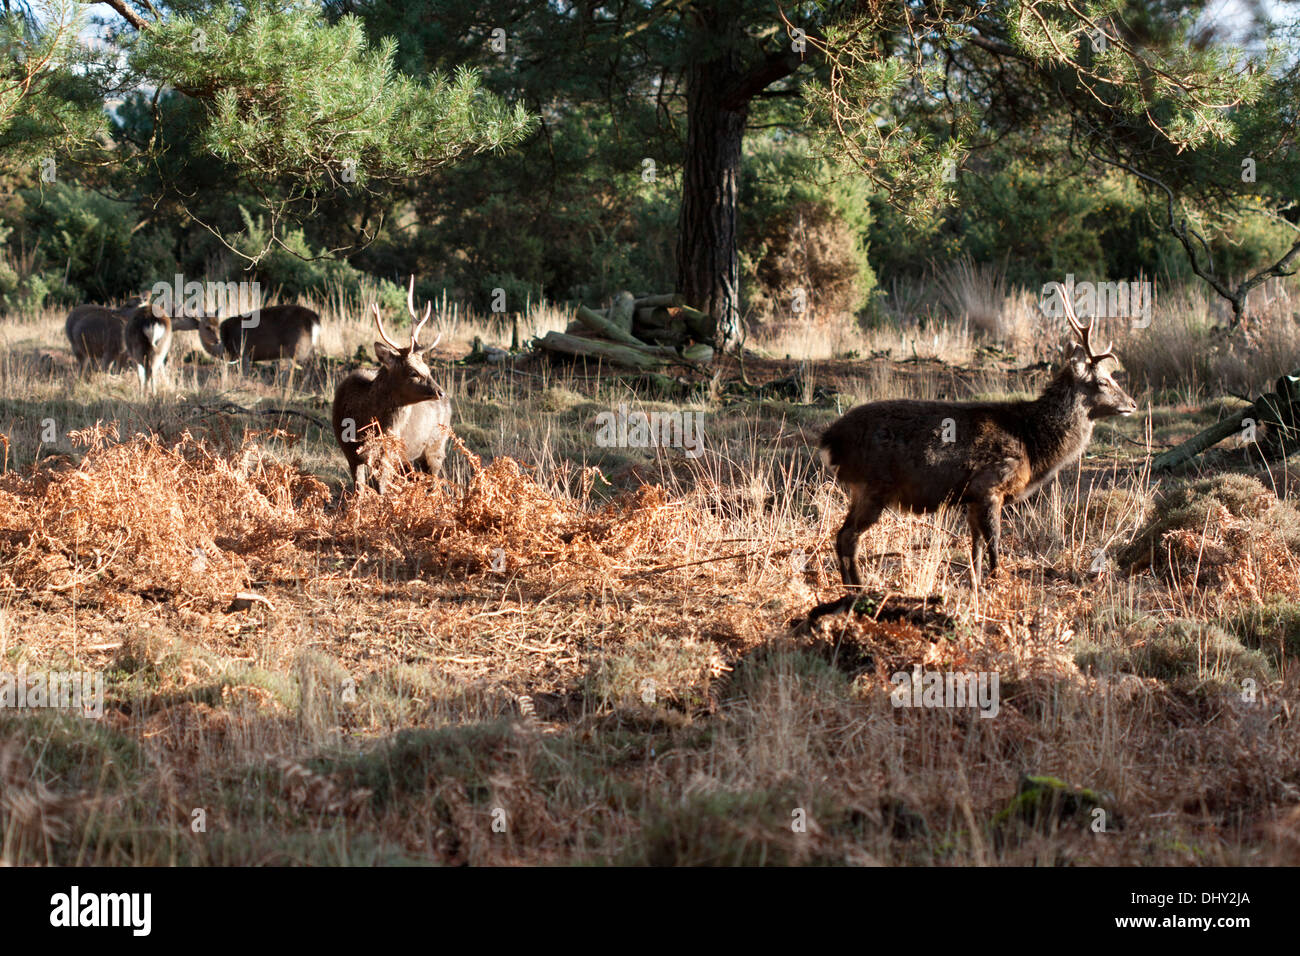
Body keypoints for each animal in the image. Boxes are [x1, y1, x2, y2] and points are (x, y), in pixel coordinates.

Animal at [330, 274, 452, 486]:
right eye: (413, 372)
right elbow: (359, 490)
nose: (441, 392)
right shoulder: (350, 454)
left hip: (436, 446)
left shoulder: (386, 455)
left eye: (427, 369)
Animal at [821, 299, 1138, 606]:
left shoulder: (971, 498)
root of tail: (829, 439)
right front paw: (997, 583)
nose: (1133, 404)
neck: (1031, 444)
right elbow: (994, 543)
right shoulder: (990, 485)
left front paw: (976, 586)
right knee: (848, 537)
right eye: (1103, 381)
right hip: (874, 485)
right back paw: (859, 589)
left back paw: (851, 588)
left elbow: (974, 549)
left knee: (841, 535)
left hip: (862, 489)